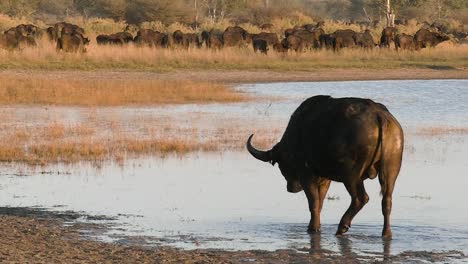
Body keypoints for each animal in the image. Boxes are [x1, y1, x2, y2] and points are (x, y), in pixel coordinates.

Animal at [247, 95, 404, 237]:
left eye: (281, 164)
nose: (291, 188)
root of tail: (379, 115)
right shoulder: (325, 179)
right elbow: (321, 202)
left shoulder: (307, 175)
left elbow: (314, 203)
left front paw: (313, 228)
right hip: (391, 170)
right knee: (387, 201)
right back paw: (386, 233)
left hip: (351, 175)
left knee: (360, 198)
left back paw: (342, 227)